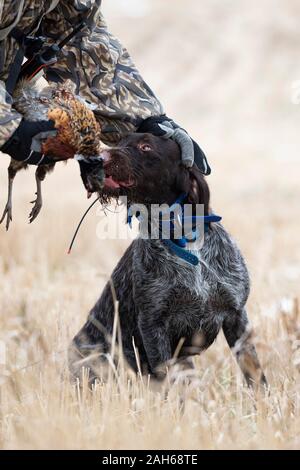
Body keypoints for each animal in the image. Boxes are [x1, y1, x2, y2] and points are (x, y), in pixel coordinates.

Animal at [68, 132, 268, 390]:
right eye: (119, 142)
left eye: (146, 146)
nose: (97, 158)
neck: (185, 241)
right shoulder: (153, 326)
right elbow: (169, 382)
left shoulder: (236, 315)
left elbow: (255, 373)